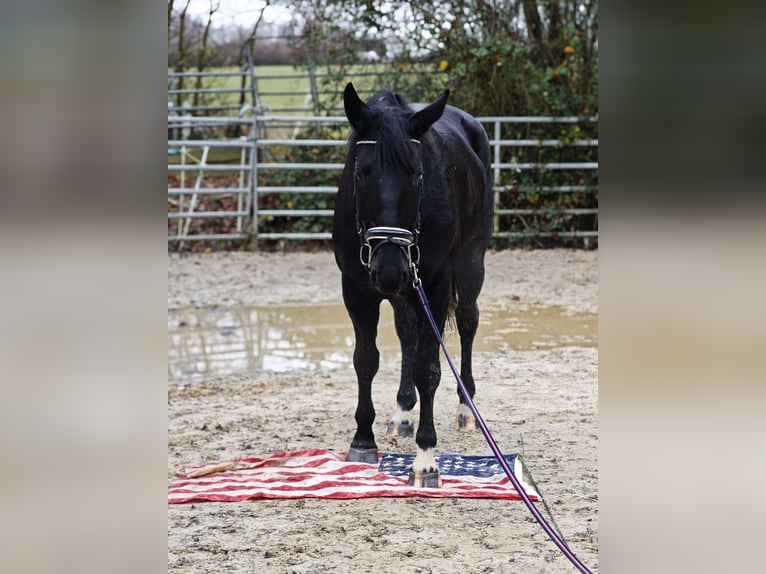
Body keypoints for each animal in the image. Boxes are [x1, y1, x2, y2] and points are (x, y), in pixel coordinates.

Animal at [332, 82, 494, 487]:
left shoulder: (434, 286)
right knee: (407, 331)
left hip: (468, 264)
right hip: (404, 288)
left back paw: (466, 407)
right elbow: (365, 360)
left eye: (419, 174)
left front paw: (425, 458)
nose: (389, 269)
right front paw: (363, 440)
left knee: (467, 321)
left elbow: (428, 369)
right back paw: (403, 412)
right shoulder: (356, 289)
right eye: (362, 172)